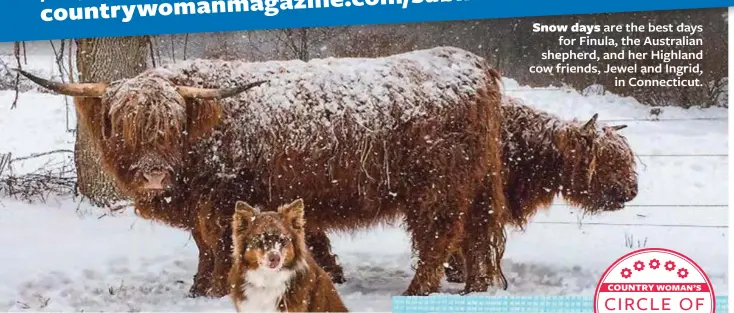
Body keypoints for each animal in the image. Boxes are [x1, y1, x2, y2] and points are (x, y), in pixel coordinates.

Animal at [17, 47, 512, 298]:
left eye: (172, 125)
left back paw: (418, 290)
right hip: (473, 183)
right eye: (124, 125)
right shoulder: (201, 202)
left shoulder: (220, 197)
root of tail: (472, 63)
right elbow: (202, 245)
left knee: (439, 234)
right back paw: (475, 286)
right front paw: (198, 287)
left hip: (440, 184)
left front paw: (215, 288)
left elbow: (217, 243)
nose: (155, 174)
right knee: (475, 231)